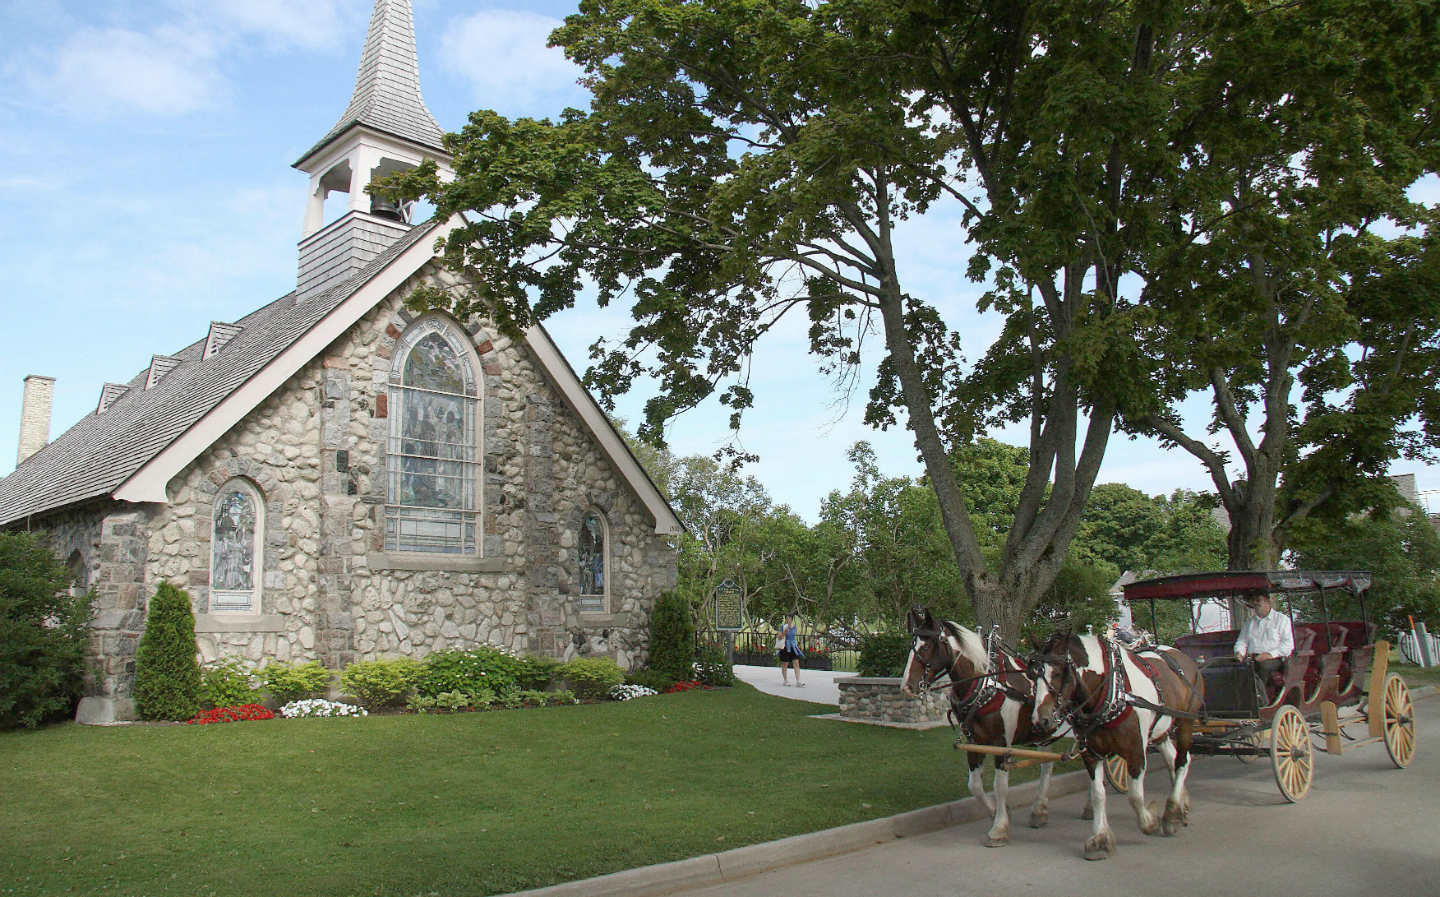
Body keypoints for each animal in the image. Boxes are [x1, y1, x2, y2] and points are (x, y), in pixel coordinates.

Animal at [892, 607, 1082, 846]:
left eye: (925, 646)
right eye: (911, 645)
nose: (906, 687)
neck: (986, 684)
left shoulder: (1002, 743)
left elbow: (1000, 786)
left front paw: (999, 828)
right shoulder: (975, 741)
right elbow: (974, 786)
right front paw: (997, 812)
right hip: (1043, 730)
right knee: (1047, 764)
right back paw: (1040, 810)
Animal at [1036, 630, 1203, 863]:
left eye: (1058, 672)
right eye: (1033, 674)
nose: (1041, 720)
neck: (1114, 691)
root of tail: (1183, 657)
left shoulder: (1136, 751)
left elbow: (1134, 796)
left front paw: (1150, 821)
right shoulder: (1091, 753)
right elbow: (1098, 795)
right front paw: (1100, 839)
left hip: (1186, 722)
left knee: (1182, 762)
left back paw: (1171, 815)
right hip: (1161, 729)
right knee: (1172, 759)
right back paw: (1180, 806)